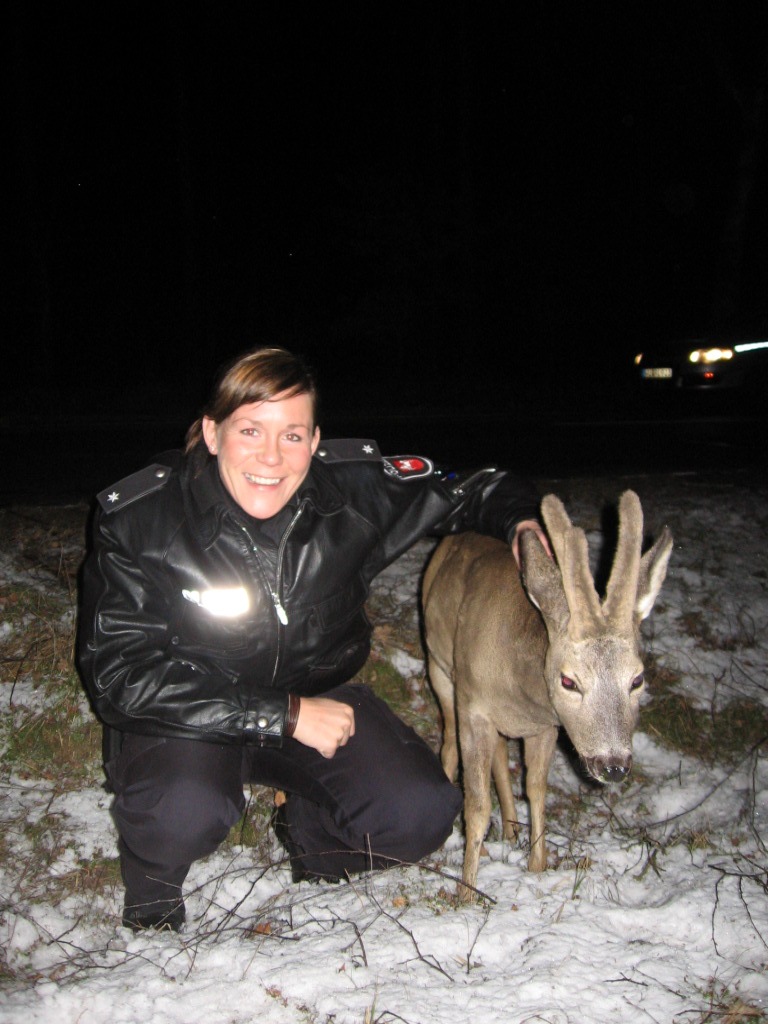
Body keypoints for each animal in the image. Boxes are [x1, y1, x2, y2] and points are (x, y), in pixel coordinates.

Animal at [421, 491, 671, 901]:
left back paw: (510, 828)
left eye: (637, 679)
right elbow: (477, 804)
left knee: (500, 754)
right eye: (569, 681)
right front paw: (467, 892)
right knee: (449, 745)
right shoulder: (473, 707)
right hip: (440, 669)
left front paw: (537, 866)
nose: (613, 765)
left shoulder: (545, 726)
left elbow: (536, 788)